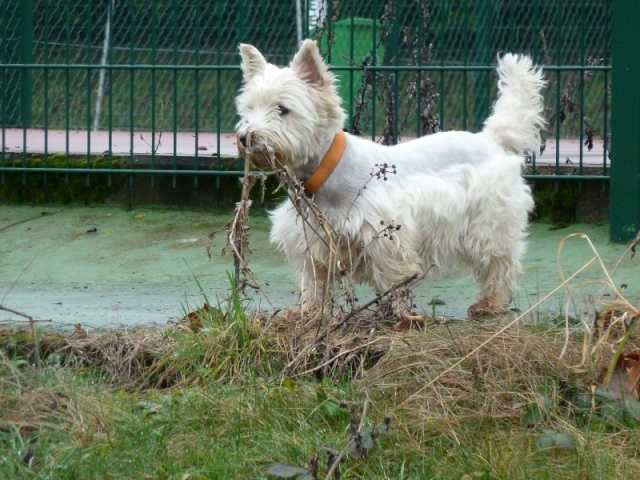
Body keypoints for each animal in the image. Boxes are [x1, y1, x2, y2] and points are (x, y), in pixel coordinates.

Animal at [235, 38, 544, 318]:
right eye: (248, 109)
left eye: (283, 109)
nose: (245, 138)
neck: (324, 174)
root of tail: (491, 138)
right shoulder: (311, 239)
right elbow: (313, 279)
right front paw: (306, 311)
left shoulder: (385, 235)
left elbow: (392, 276)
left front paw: (396, 314)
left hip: (490, 223)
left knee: (500, 263)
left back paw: (490, 303)